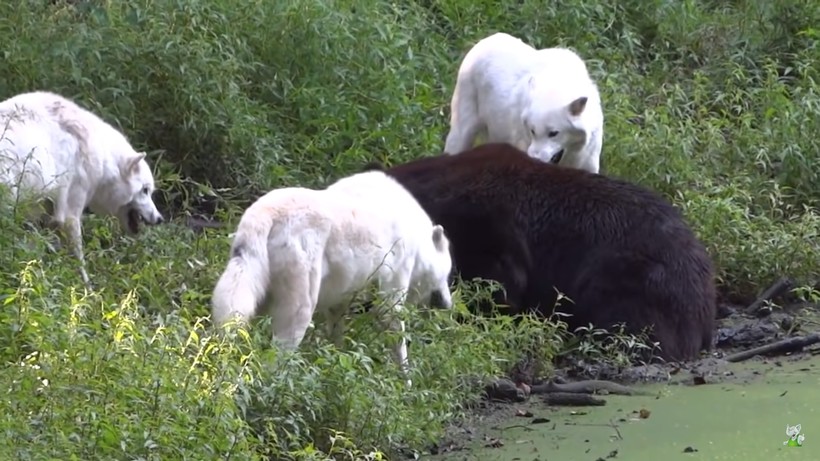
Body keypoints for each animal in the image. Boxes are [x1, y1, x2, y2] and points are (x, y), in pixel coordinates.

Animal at [0, 90, 165, 286]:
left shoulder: (40, 214)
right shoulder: (70, 214)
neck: (103, 157)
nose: (160, 219)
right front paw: (87, 288)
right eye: (145, 190)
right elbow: (79, 259)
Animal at [211, 169, 454, 384]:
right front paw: (406, 384)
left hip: (251, 302)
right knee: (276, 359)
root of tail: (265, 214)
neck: (419, 239)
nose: (447, 305)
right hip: (299, 310)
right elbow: (400, 347)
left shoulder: (339, 303)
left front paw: (338, 363)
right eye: (447, 275)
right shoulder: (391, 296)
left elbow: (337, 338)